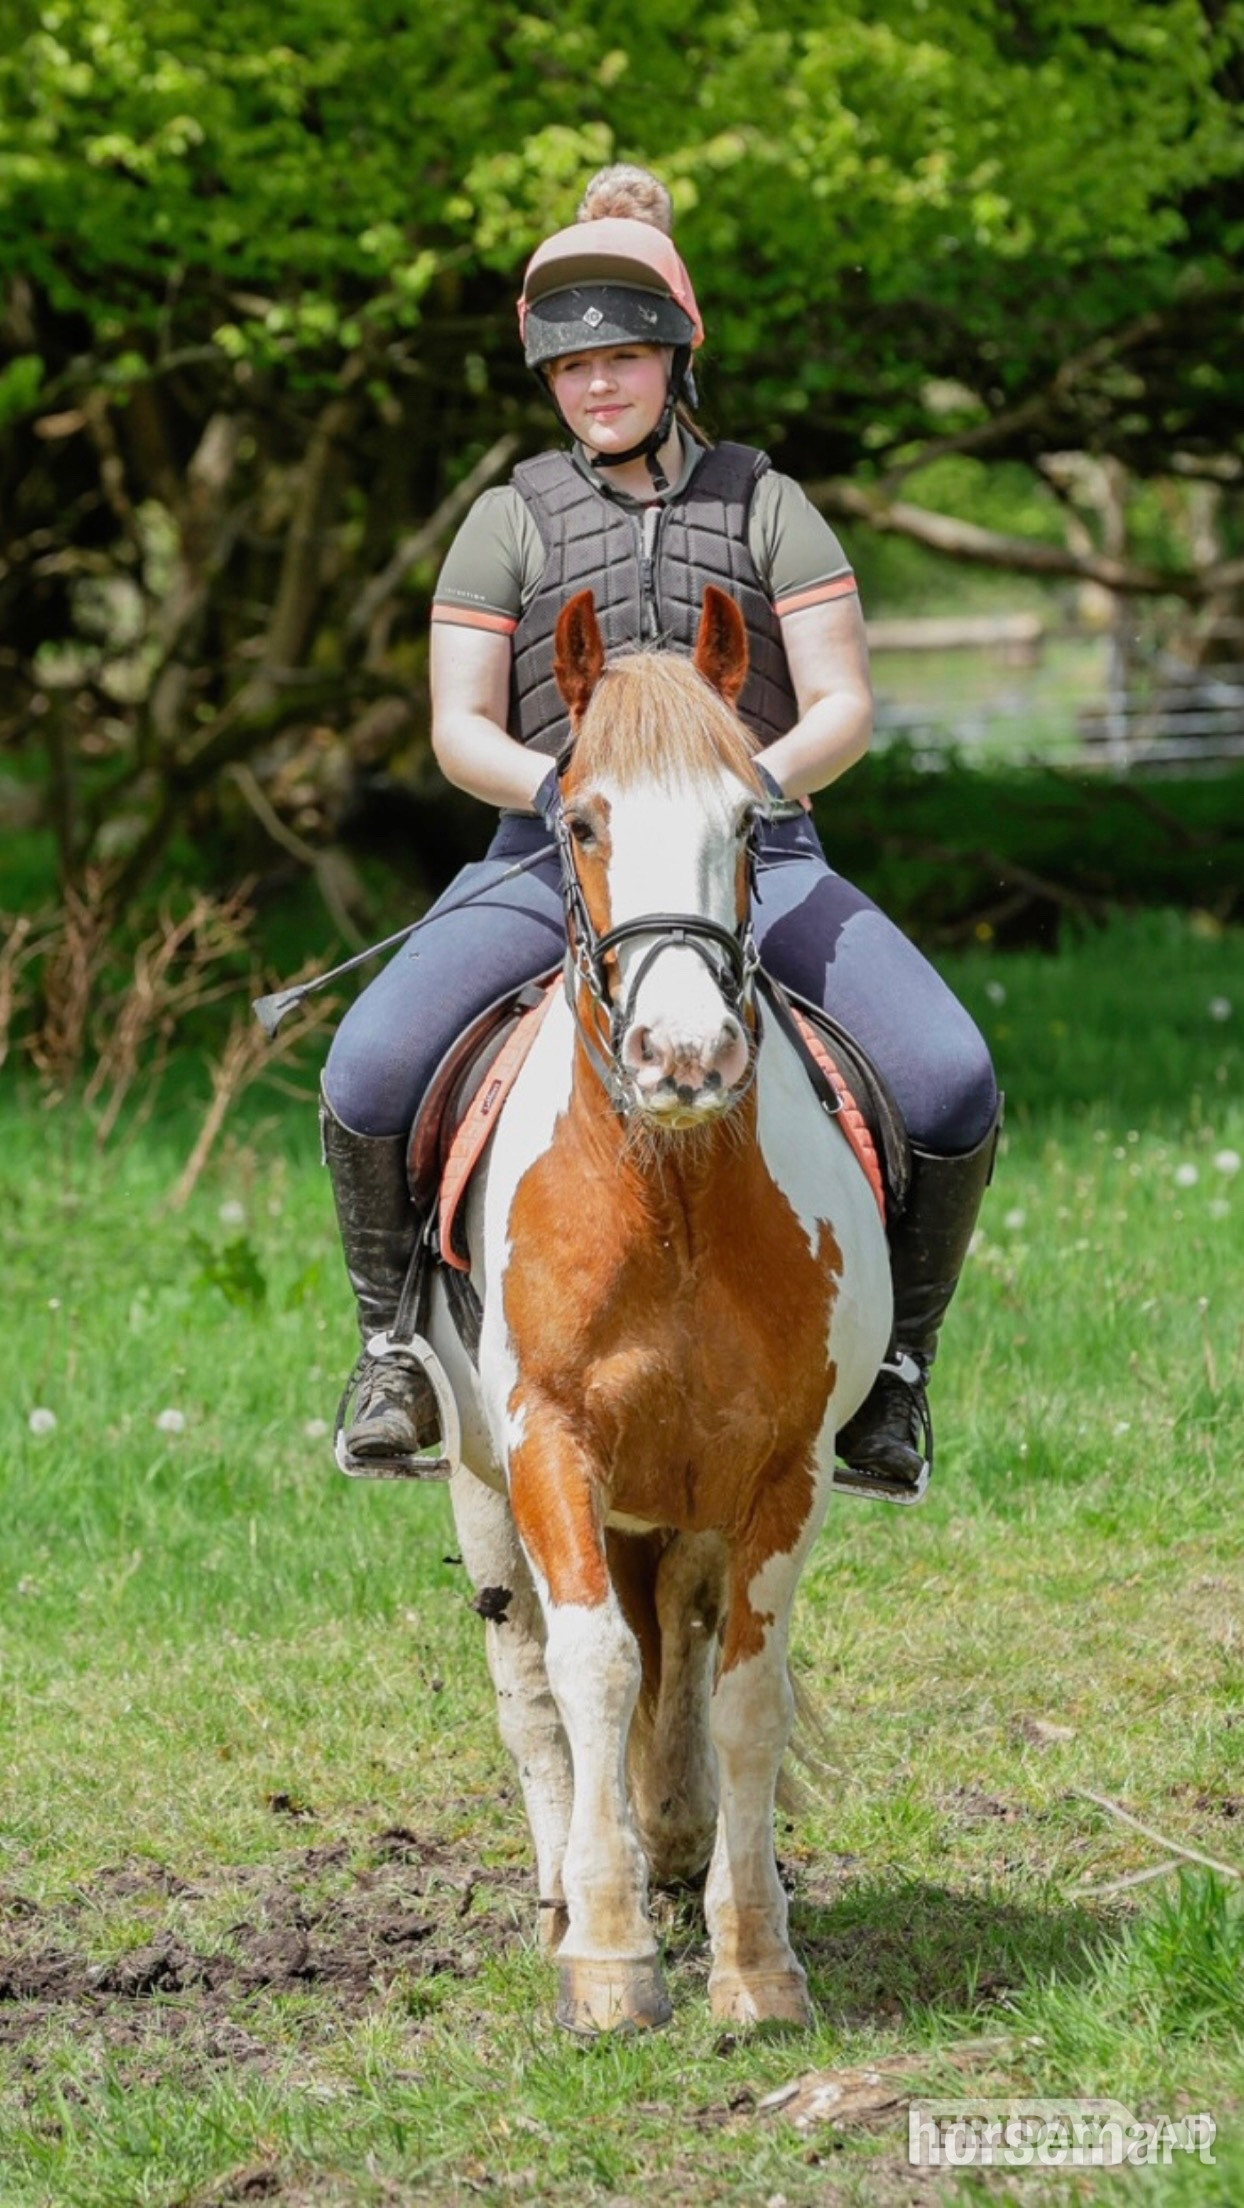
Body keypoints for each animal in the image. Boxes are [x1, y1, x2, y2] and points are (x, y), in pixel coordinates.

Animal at [427, 584, 892, 2033]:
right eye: (581, 821)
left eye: (747, 822)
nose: (683, 1057)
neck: (670, 1196)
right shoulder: (548, 1445)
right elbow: (588, 1672)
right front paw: (610, 1959)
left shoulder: (780, 1472)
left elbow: (742, 1691)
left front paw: (755, 1961)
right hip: (480, 1487)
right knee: (531, 1686)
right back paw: (568, 1892)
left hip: (680, 1498)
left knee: (676, 1640)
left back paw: (676, 1841)